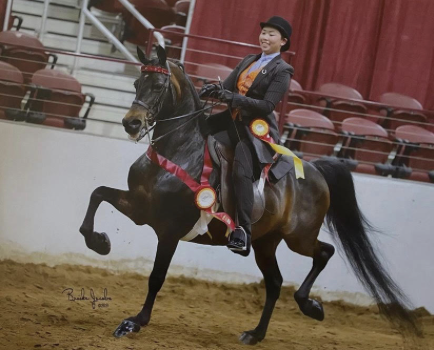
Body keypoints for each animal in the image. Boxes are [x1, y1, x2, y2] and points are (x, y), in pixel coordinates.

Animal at [79, 44, 420, 344]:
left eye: (159, 85)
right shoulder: (140, 207)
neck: (179, 151)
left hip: (298, 237)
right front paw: (100, 242)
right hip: (266, 242)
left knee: (323, 253)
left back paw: (311, 306)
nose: (131, 123)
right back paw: (256, 334)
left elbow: (156, 276)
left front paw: (134, 322)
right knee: (275, 283)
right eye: (137, 83)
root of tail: (316, 169)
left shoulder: (170, 229)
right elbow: (97, 195)